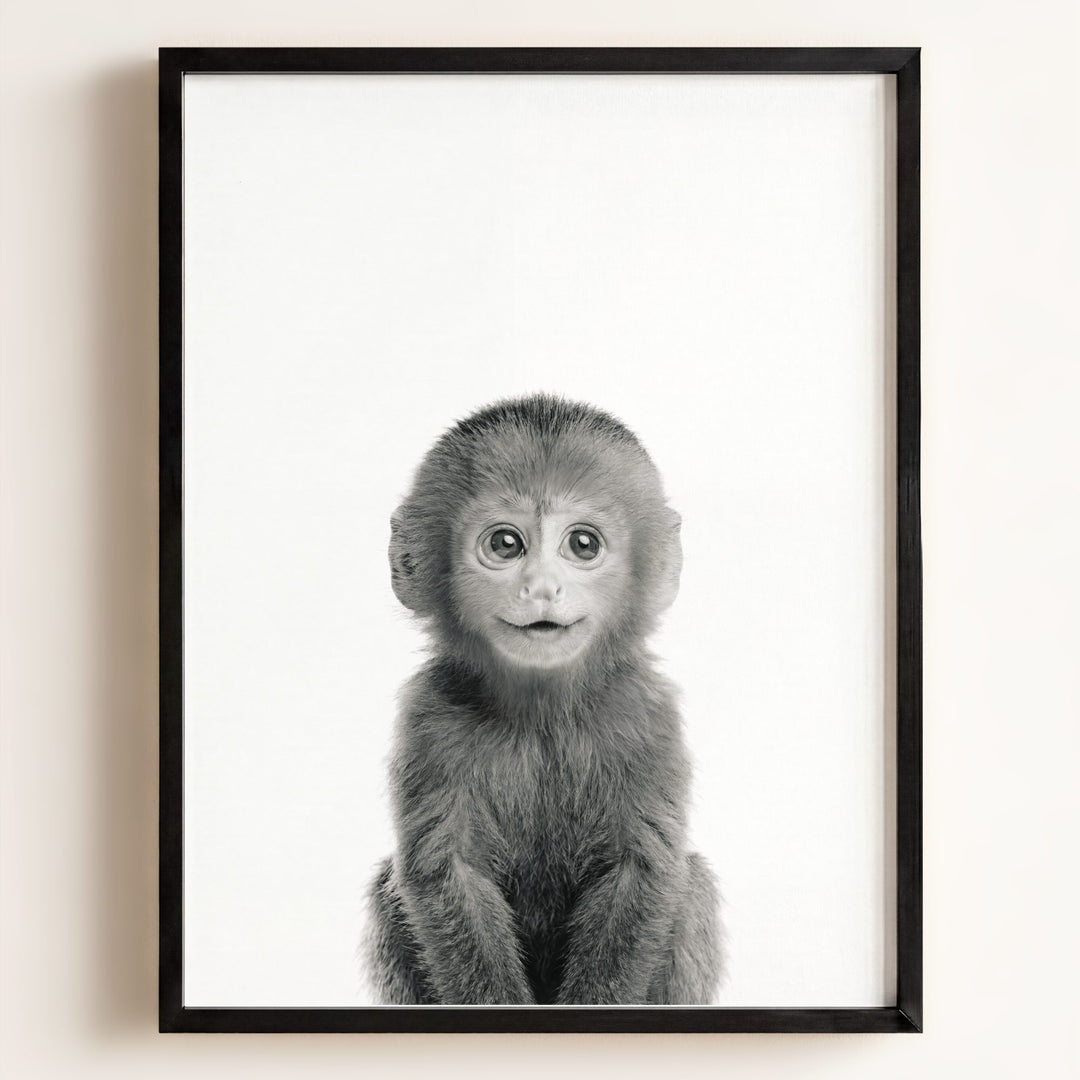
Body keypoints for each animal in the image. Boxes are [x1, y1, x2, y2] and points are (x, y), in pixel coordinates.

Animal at [364, 394, 722, 1005]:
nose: (541, 588)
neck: (542, 715)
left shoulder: (647, 713)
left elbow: (642, 871)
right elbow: (446, 874)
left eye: (583, 544)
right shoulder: (429, 717)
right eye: (505, 544)